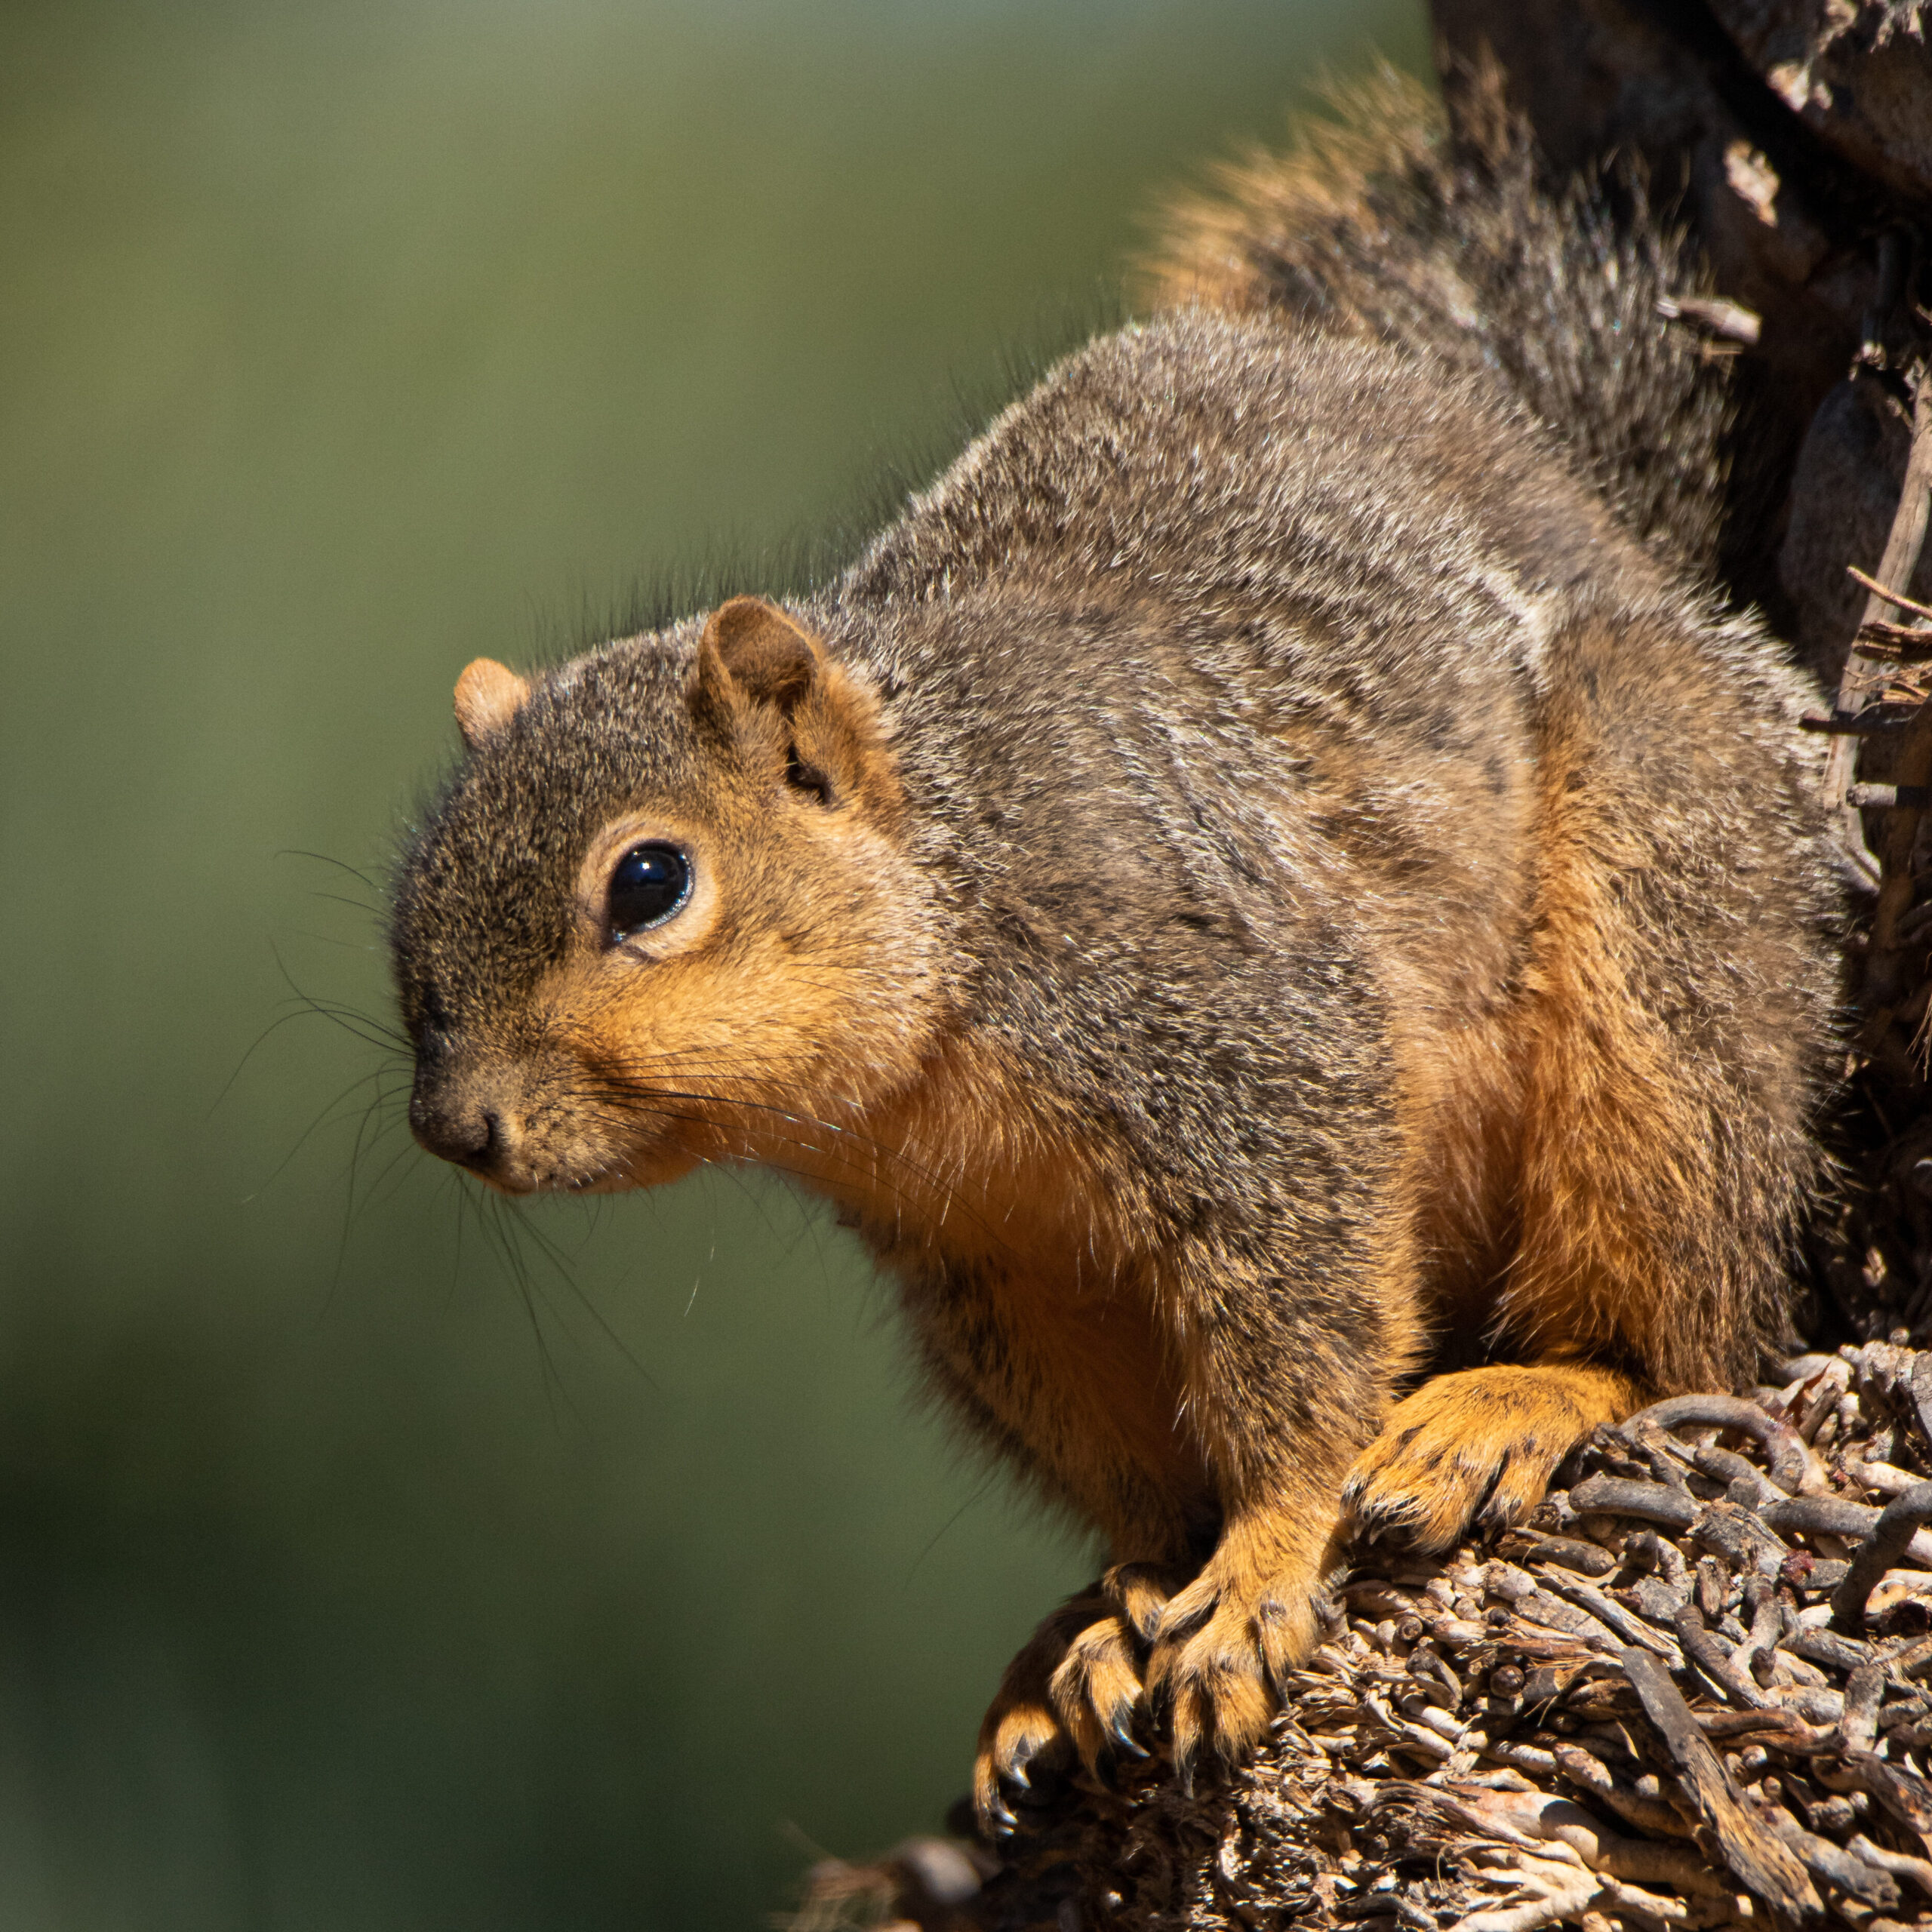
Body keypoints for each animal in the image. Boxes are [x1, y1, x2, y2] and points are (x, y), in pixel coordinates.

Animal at [388, 71, 1839, 1823]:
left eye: (651, 881)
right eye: (412, 895)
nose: (454, 1126)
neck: (947, 926)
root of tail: (1604, 523)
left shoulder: (1247, 1043)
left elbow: (1299, 1346)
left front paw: (1258, 1565)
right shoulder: (992, 1257)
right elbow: (1124, 1463)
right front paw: (1112, 1609)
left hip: (1663, 927)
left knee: (1692, 1330)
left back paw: (1522, 1398)